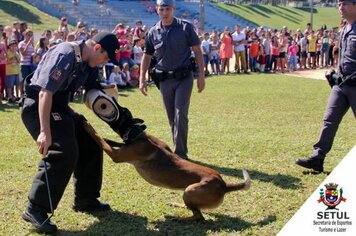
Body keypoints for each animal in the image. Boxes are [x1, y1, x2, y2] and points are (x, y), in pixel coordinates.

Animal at [83, 121, 250, 220]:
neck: (141, 136)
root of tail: (224, 185)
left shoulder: (116, 156)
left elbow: (98, 137)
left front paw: (87, 124)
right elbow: (110, 140)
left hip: (190, 190)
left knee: (199, 217)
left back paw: (179, 218)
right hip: (188, 194)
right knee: (194, 209)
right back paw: (176, 205)